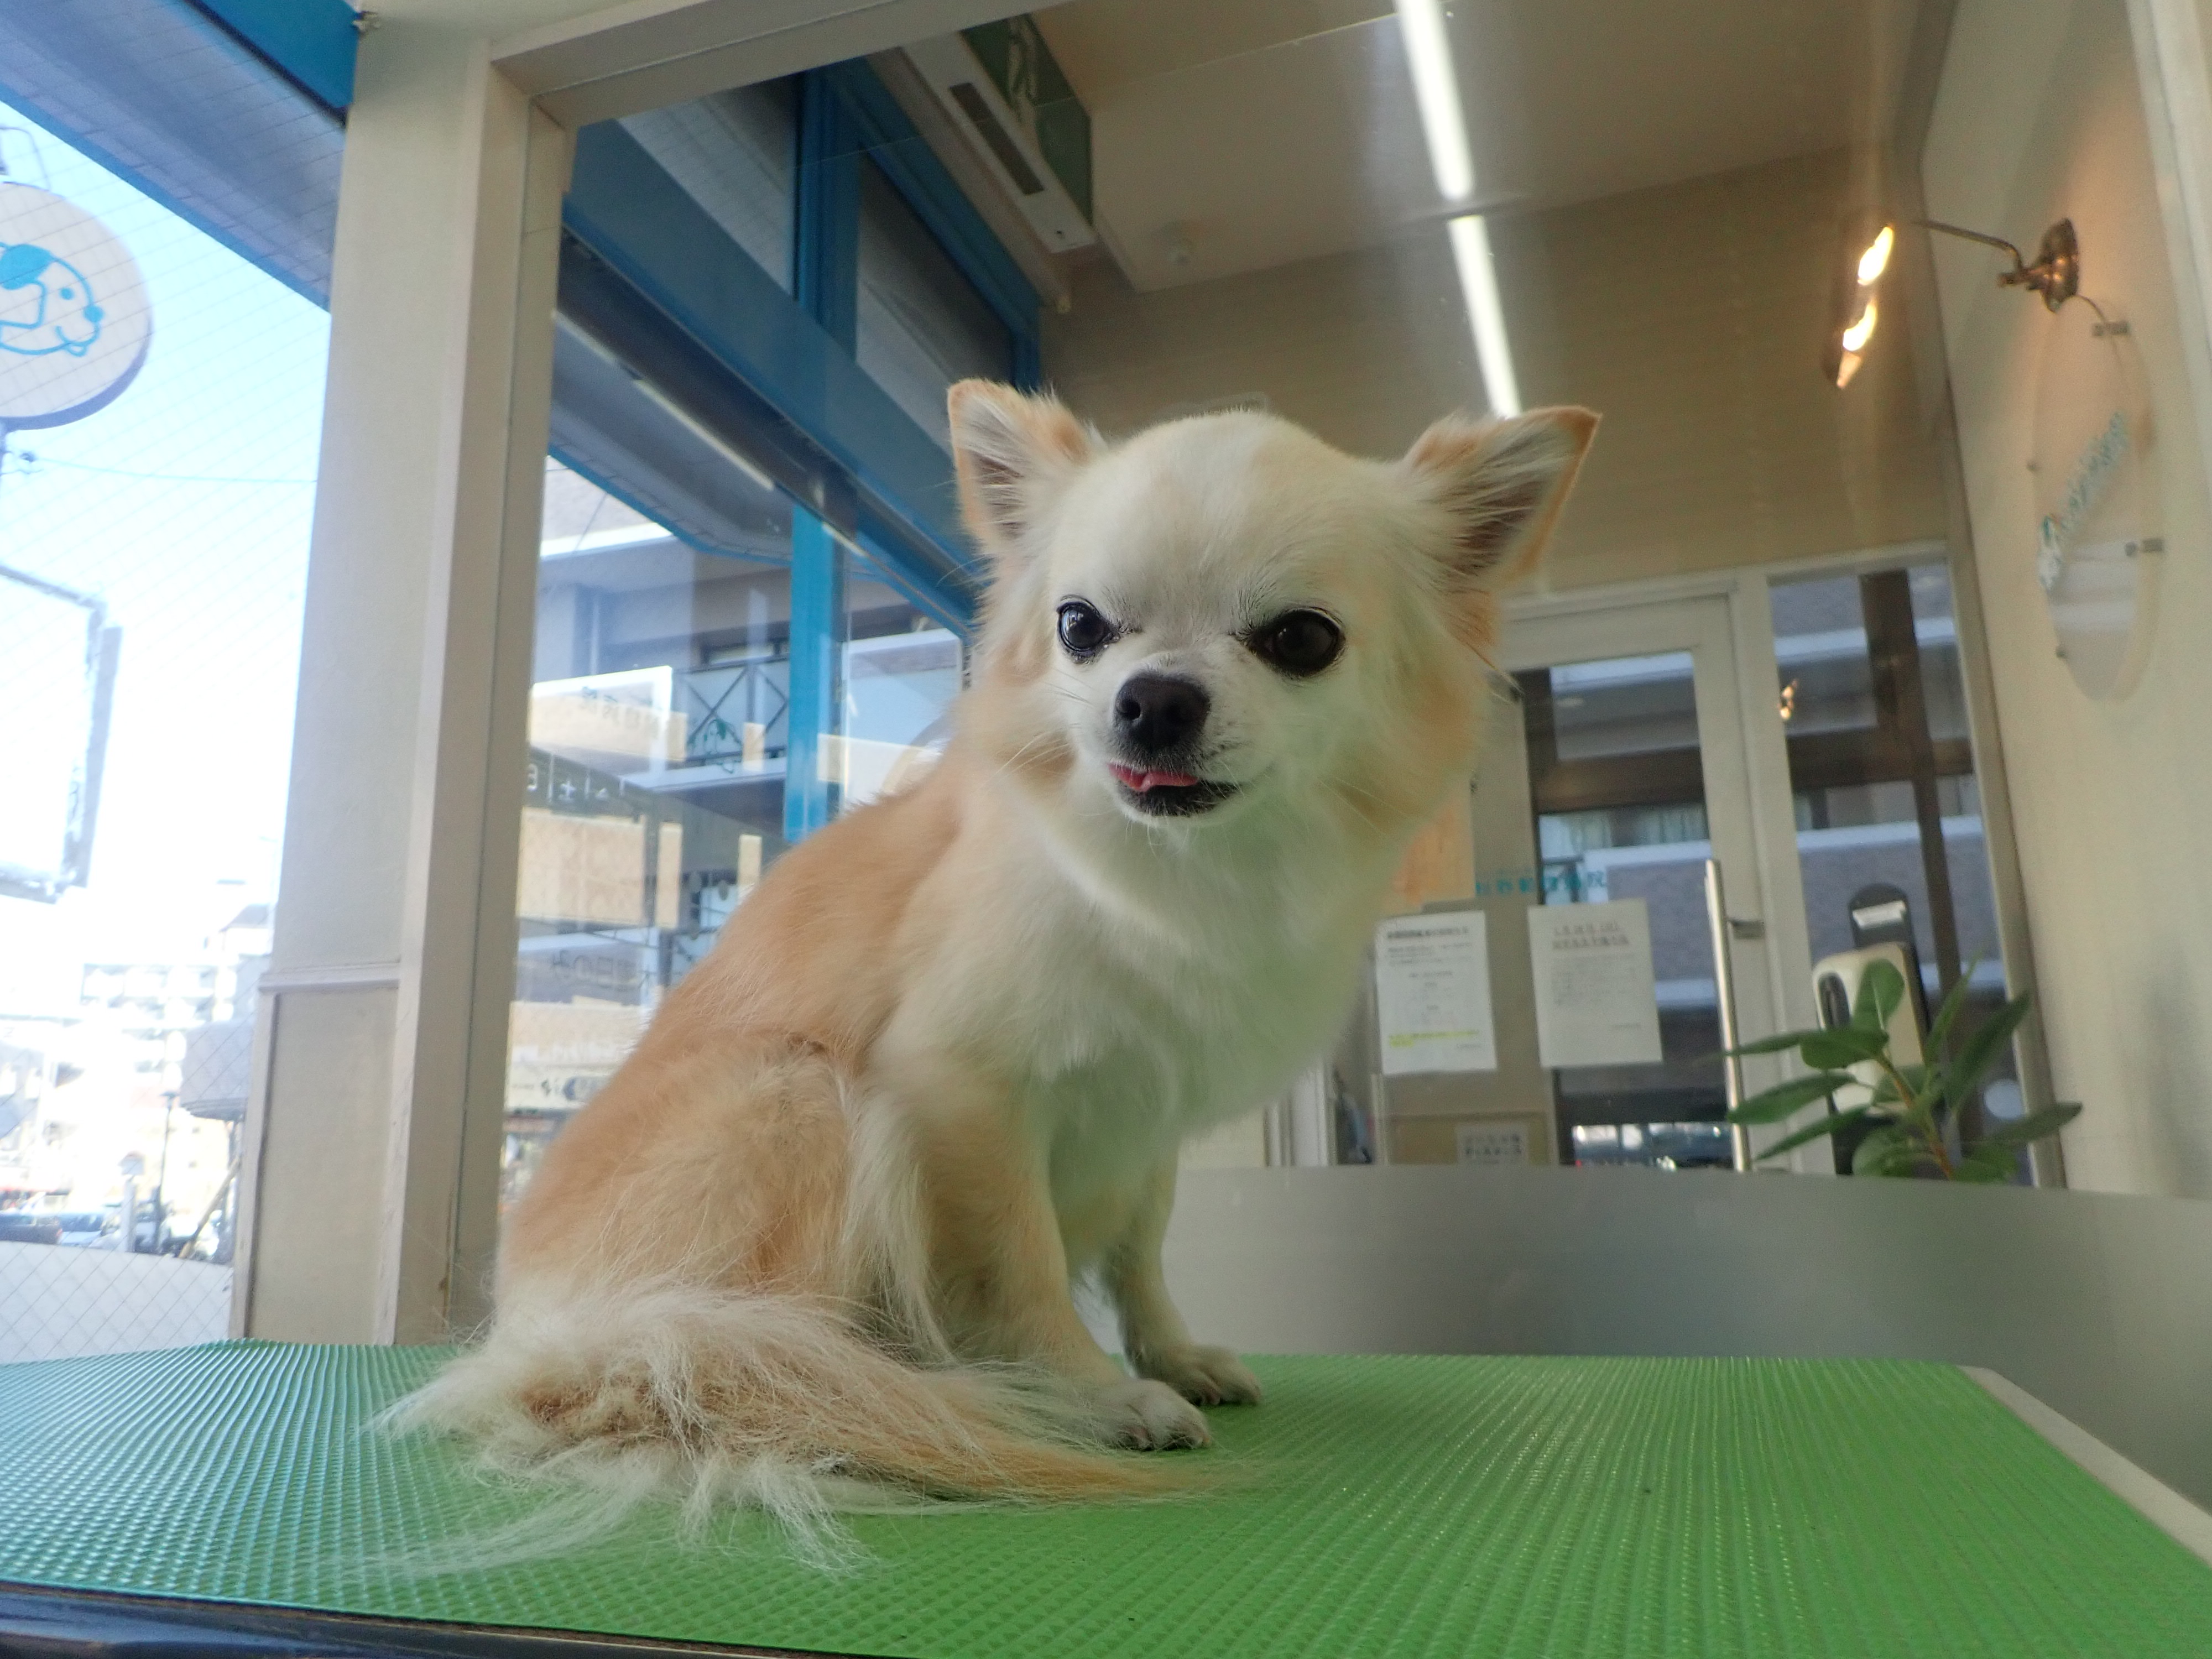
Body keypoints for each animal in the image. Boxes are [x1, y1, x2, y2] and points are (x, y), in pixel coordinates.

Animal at [401, 382, 1595, 1544]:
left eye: (1301, 640)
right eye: (1080, 627)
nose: (1152, 698)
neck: (1179, 876)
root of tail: (534, 1335)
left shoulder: (1148, 1118)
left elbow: (1142, 1255)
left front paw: (1173, 1355)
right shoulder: (964, 1096)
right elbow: (1024, 1269)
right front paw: (1095, 1393)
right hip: (800, 1097)